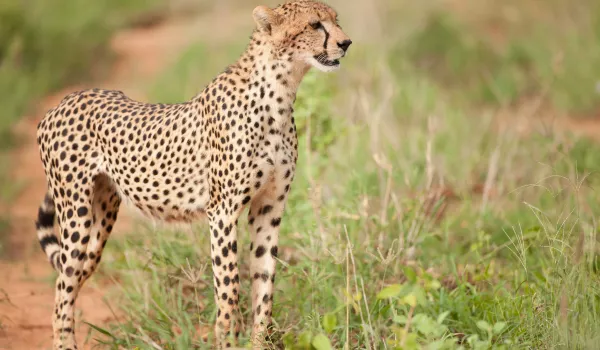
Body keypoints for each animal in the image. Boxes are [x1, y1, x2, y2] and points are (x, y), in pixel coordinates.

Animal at [34, 1, 352, 348]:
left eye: (336, 20)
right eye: (314, 24)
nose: (345, 43)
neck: (280, 91)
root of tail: (64, 101)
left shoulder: (269, 209)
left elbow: (264, 286)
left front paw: (258, 341)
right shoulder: (222, 212)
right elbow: (228, 290)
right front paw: (226, 341)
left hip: (101, 219)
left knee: (72, 279)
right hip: (75, 215)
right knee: (61, 293)